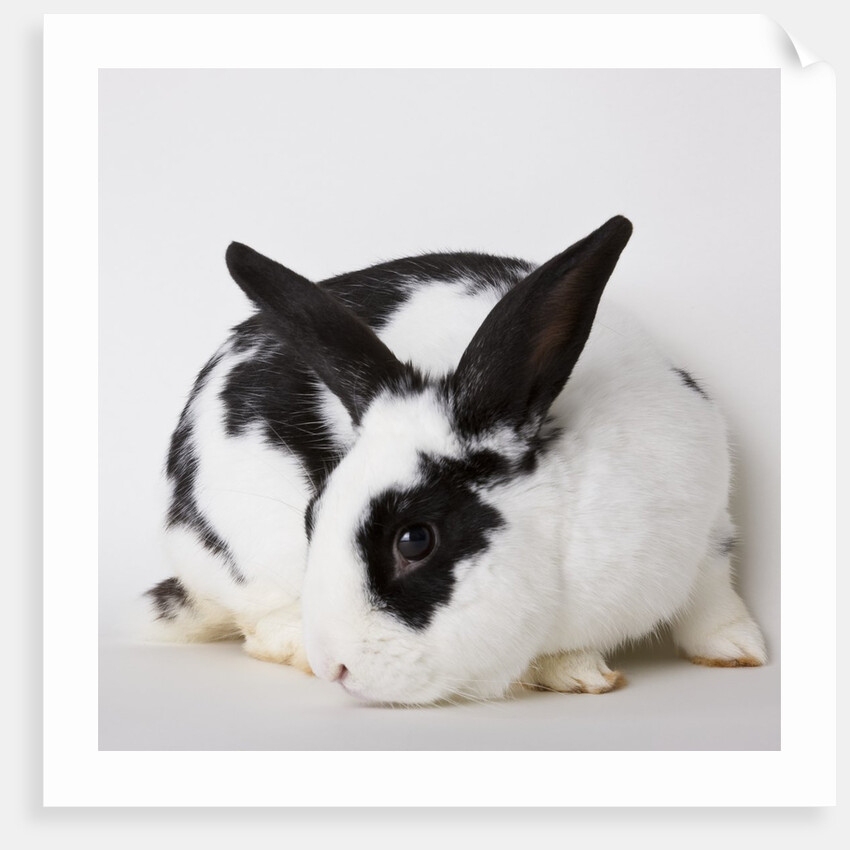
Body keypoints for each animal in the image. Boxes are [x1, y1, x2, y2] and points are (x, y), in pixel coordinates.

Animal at [145, 215, 767, 705]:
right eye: (311, 519)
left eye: (415, 540)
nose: (335, 669)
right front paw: (579, 673)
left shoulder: (711, 527)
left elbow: (714, 597)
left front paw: (741, 650)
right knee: (260, 630)